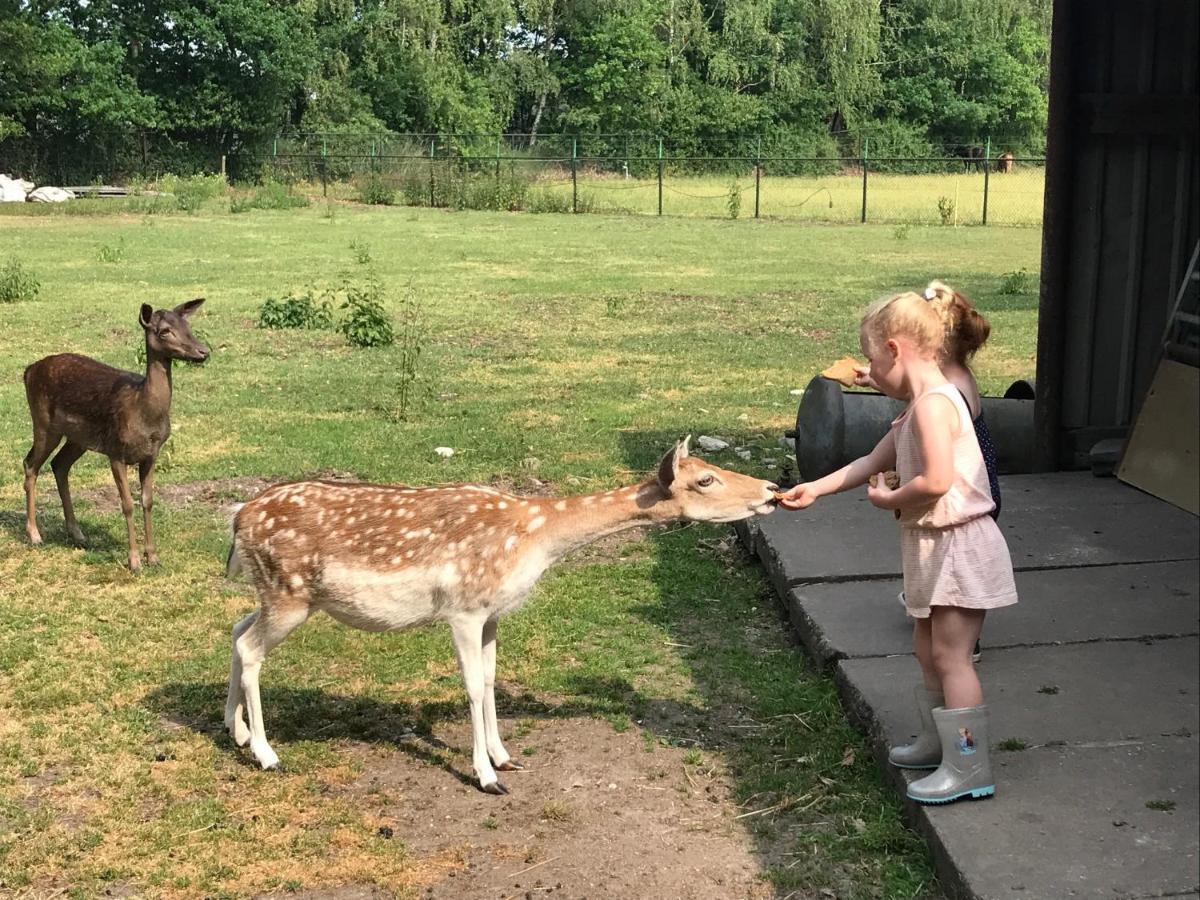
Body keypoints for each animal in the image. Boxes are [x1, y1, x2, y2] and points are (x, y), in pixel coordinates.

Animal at [22, 303, 210, 571]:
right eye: (164, 331)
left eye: (187, 326)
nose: (204, 351)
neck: (143, 412)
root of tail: (28, 371)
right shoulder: (116, 451)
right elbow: (128, 504)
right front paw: (134, 561)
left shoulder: (152, 454)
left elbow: (148, 500)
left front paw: (153, 557)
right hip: (43, 423)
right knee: (30, 464)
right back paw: (35, 534)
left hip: (78, 437)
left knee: (59, 464)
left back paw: (77, 533)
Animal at [225, 441, 777, 792]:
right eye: (706, 478)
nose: (771, 490)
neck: (534, 542)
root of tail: (237, 519)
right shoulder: (464, 608)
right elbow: (471, 685)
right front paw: (486, 778)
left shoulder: (493, 614)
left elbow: (491, 680)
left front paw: (504, 758)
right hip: (289, 594)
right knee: (250, 648)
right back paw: (267, 755)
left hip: (274, 593)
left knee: (236, 630)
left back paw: (237, 733)